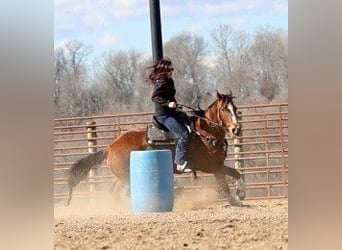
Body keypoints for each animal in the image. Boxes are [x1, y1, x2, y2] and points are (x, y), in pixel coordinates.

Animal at [65, 91, 246, 207]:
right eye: (224, 109)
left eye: (235, 109)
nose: (236, 129)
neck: (206, 132)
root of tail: (110, 147)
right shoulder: (211, 167)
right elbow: (225, 185)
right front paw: (236, 200)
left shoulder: (218, 165)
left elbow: (237, 173)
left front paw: (241, 194)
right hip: (126, 178)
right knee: (125, 193)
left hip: (121, 177)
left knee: (114, 192)